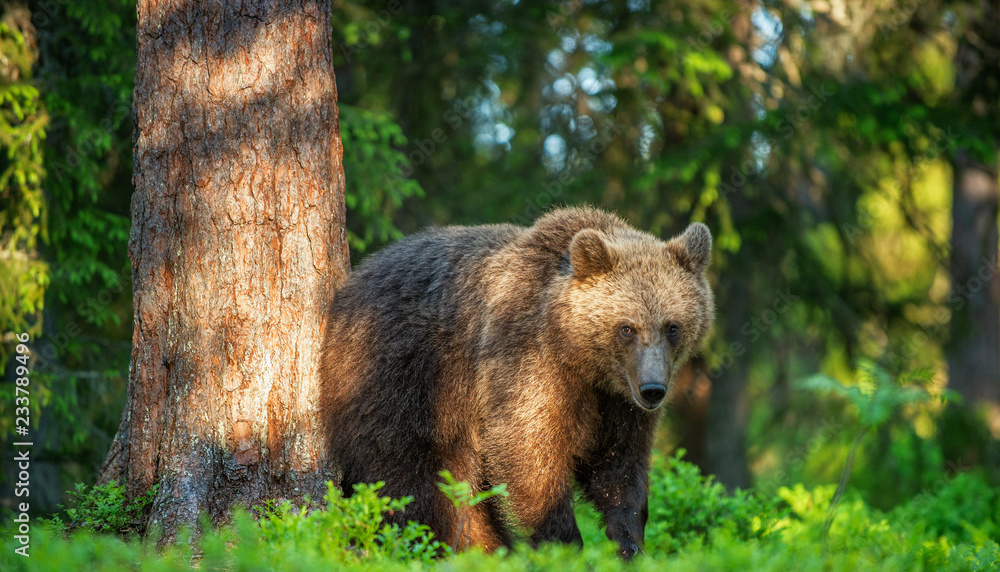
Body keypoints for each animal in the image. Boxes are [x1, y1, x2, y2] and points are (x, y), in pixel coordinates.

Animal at [319, 206, 714, 559]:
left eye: (672, 326)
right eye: (627, 328)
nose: (653, 389)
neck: (579, 357)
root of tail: (356, 280)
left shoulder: (616, 402)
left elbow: (620, 466)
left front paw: (628, 544)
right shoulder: (524, 361)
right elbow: (527, 453)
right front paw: (564, 546)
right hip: (402, 380)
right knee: (411, 481)